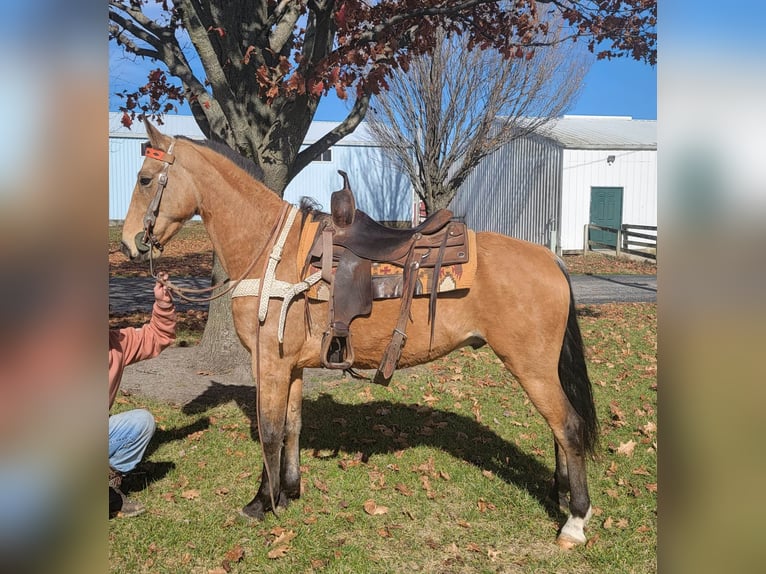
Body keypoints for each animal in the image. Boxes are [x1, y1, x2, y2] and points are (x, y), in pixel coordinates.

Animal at [120, 122, 600, 548]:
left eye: (144, 179)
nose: (128, 244)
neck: (272, 254)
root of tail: (551, 259)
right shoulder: (292, 366)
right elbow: (293, 426)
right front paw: (289, 492)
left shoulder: (269, 362)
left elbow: (270, 430)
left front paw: (261, 502)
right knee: (558, 430)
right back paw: (562, 497)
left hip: (531, 367)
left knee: (568, 426)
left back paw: (575, 520)